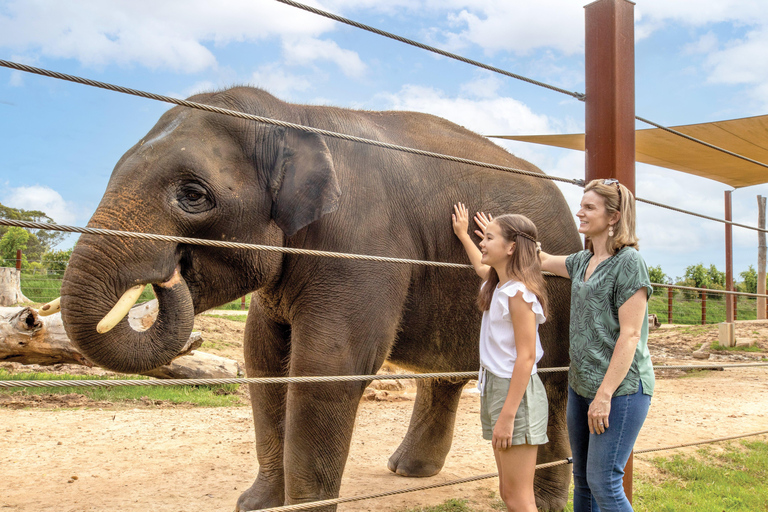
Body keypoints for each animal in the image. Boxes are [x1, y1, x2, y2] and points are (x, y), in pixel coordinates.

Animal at [58, 86, 584, 510]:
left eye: (193, 194)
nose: (168, 274)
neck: (294, 116)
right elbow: (264, 360)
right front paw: (255, 505)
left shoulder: (360, 242)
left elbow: (328, 367)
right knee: (444, 377)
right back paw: (406, 471)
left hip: (554, 288)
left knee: (552, 381)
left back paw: (547, 500)